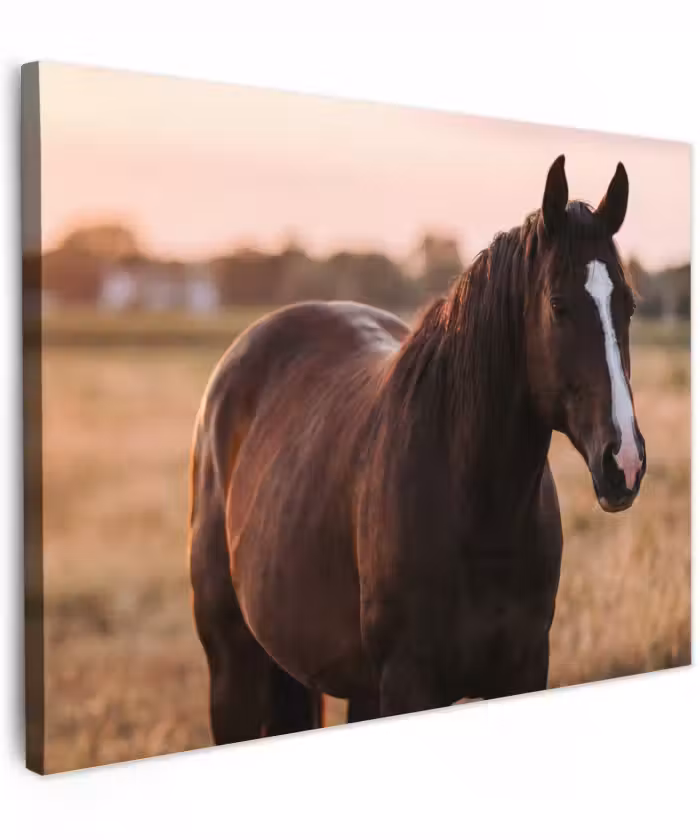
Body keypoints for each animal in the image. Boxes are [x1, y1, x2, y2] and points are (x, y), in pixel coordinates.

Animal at [188, 155, 647, 744]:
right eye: (558, 305)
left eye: (627, 305)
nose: (624, 462)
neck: (474, 508)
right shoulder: (408, 683)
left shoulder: (523, 670)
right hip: (233, 670)